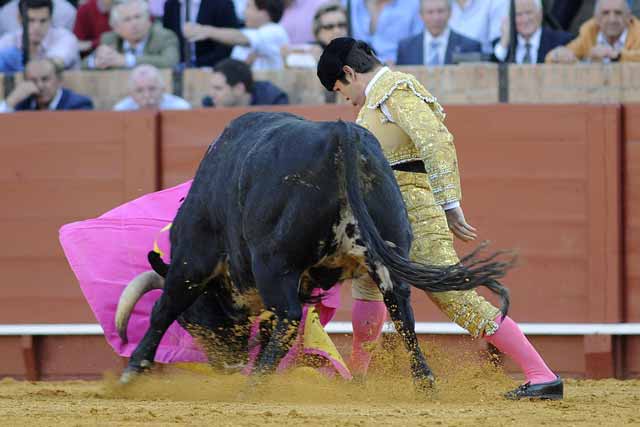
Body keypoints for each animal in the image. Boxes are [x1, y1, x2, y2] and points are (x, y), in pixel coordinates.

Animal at [119, 112, 510, 390]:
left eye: (193, 321)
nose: (228, 366)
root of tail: (342, 134)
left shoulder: (193, 262)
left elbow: (163, 309)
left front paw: (131, 371)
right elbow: (271, 326)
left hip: (274, 262)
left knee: (291, 315)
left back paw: (254, 384)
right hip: (388, 254)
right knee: (401, 310)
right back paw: (424, 382)